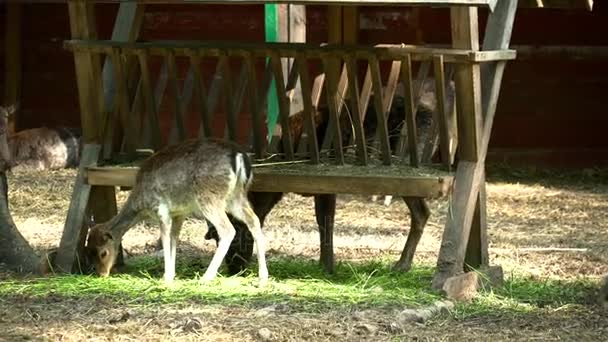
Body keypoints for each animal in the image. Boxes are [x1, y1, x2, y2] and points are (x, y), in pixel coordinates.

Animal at [85, 138, 268, 286]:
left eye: (103, 252)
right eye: (89, 251)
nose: (102, 274)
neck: (141, 206)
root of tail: (240, 157)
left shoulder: (161, 209)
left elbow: (166, 239)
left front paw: (166, 277)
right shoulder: (179, 213)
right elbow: (174, 238)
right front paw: (171, 274)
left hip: (209, 197)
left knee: (228, 229)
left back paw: (206, 277)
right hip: (236, 197)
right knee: (254, 220)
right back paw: (263, 277)